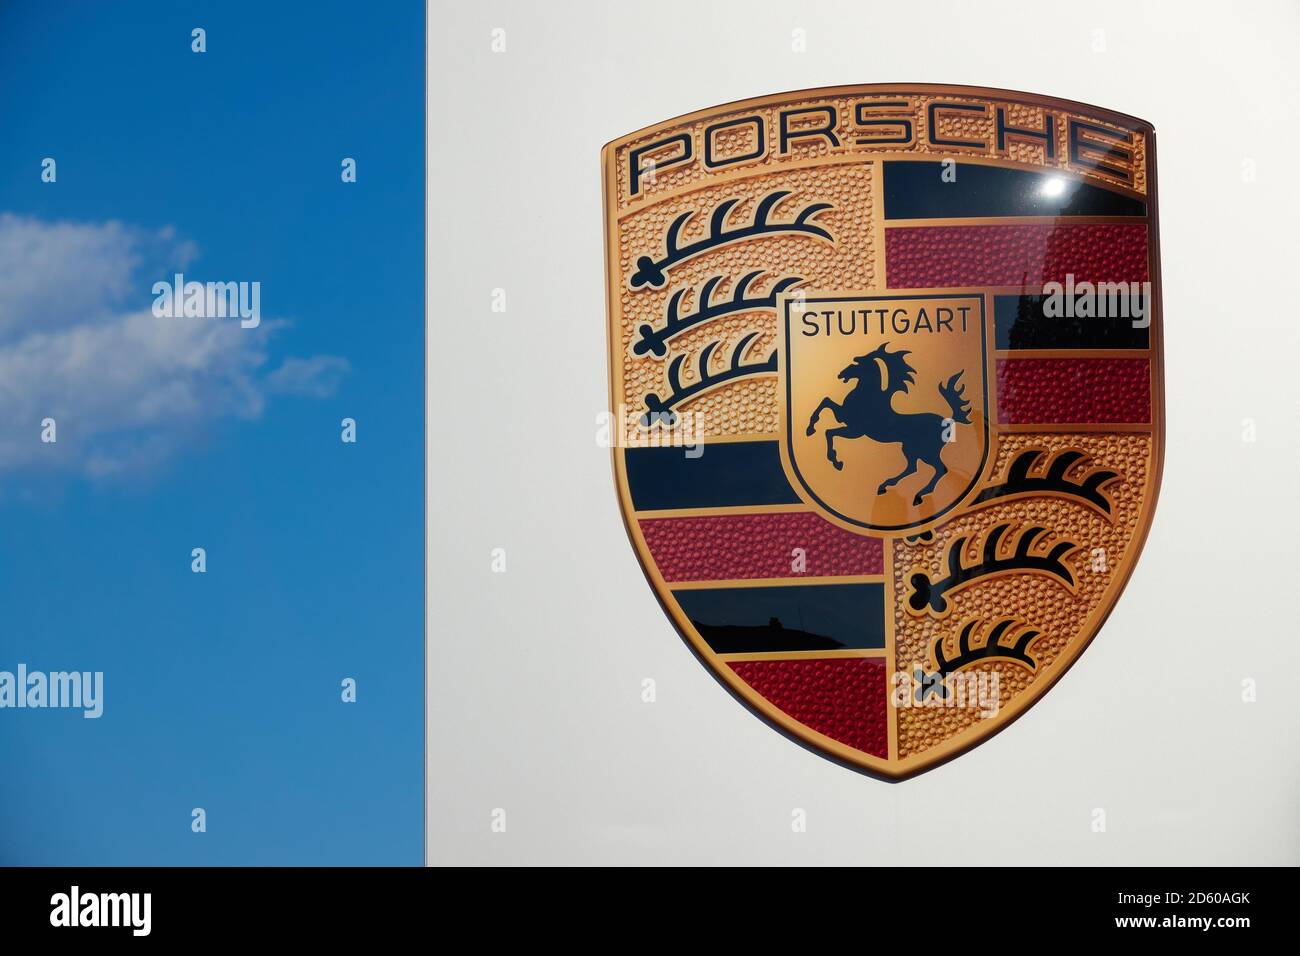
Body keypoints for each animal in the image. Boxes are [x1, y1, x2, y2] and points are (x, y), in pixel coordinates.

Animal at [806, 343, 972, 509]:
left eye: (857, 364)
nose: (840, 374)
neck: (868, 396)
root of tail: (948, 421)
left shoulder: (855, 430)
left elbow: (829, 429)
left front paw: (835, 460)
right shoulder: (845, 419)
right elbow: (826, 402)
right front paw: (811, 429)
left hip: (926, 450)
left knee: (940, 469)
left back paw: (918, 496)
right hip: (910, 448)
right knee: (913, 467)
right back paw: (885, 486)